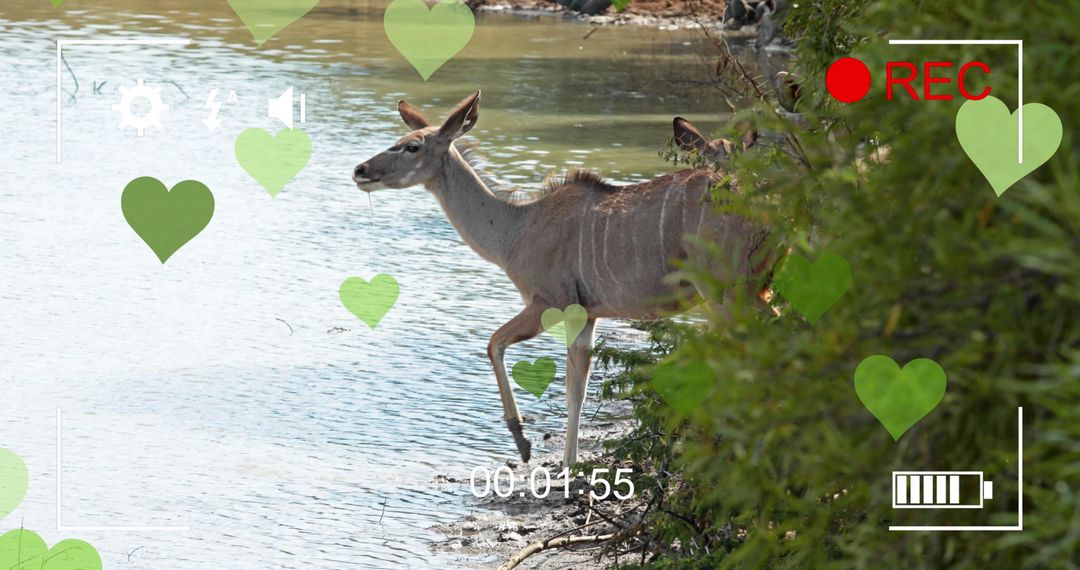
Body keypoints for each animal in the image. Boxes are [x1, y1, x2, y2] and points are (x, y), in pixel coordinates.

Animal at [352, 92, 776, 467]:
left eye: (412, 146)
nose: (360, 170)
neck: (515, 230)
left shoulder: (551, 302)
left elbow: (494, 344)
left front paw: (525, 443)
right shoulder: (587, 314)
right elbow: (577, 388)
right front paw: (569, 466)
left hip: (725, 290)